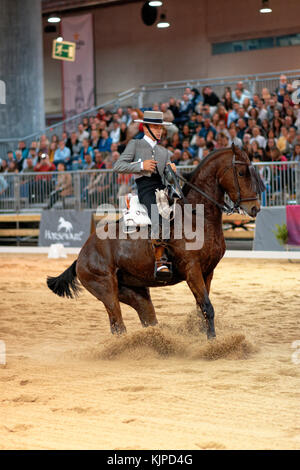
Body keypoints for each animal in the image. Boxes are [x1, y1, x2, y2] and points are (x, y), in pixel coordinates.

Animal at [47, 145, 264, 340]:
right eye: (241, 173)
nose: (254, 208)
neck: (197, 216)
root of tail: (81, 256)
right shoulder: (192, 270)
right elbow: (207, 307)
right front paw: (212, 343)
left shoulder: (207, 272)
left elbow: (200, 308)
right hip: (106, 289)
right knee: (118, 325)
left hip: (136, 293)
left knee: (146, 320)